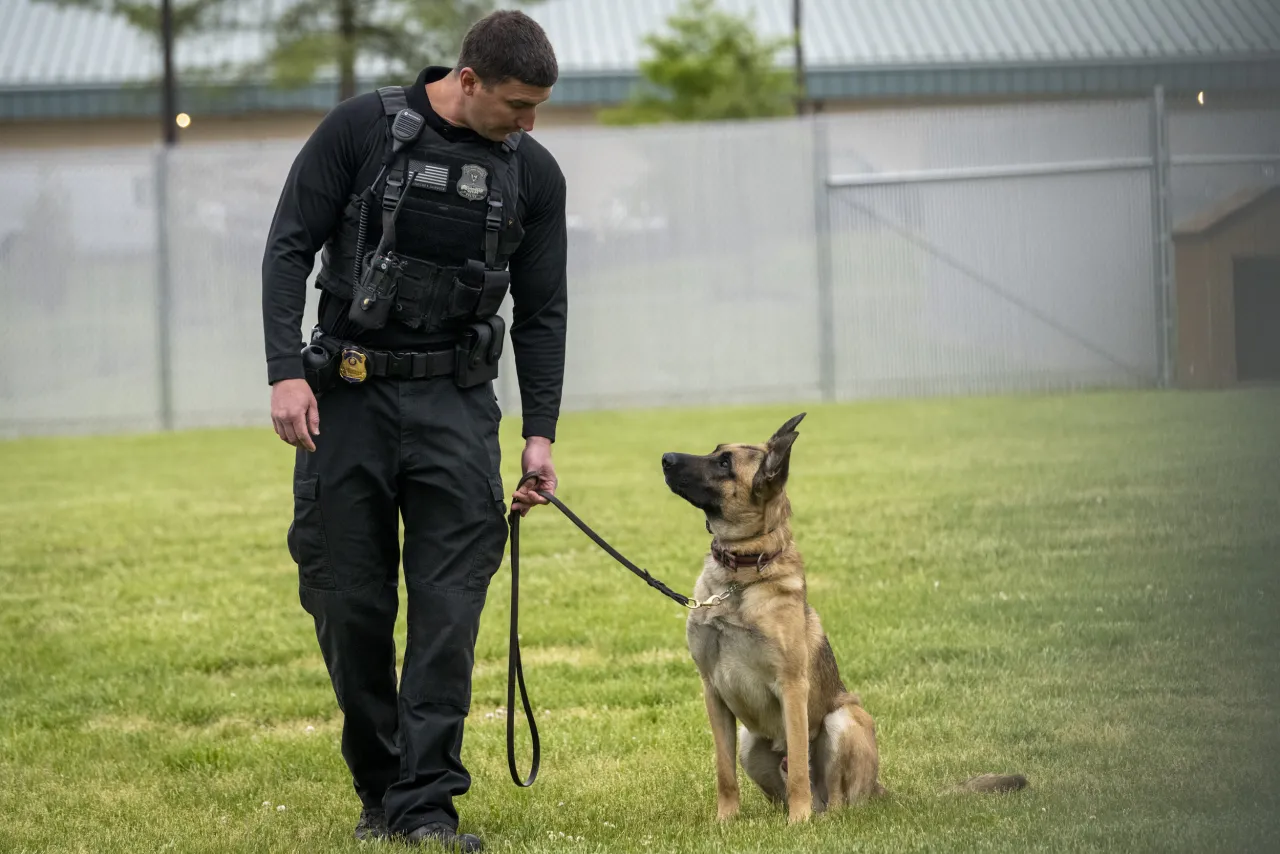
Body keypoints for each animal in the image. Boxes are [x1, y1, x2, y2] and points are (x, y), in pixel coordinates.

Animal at [665, 414, 1024, 819]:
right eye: (715, 451)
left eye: (725, 463)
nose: (665, 458)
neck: (740, 576)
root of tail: (879, 789)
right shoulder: (713, 691)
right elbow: (724, 771)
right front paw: (726, 821)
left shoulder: (792, 687)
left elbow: (798, 769)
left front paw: (798, 822)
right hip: (749, 740)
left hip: (844, 719)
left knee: (833, 800)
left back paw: (815, 816)